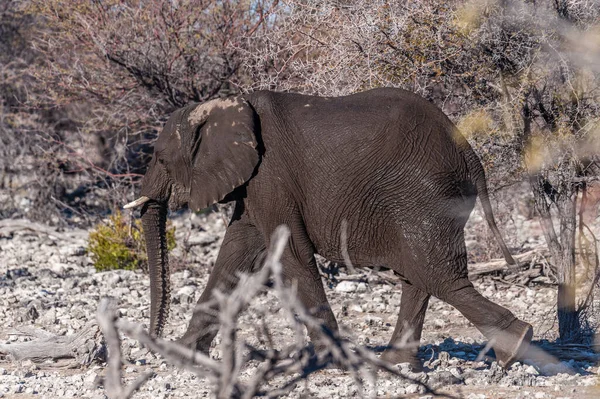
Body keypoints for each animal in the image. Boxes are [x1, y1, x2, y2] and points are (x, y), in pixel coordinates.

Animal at [124, 89, 532, 370]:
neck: (228, 106)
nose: (150, 342)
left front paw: (327, 362)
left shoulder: (270, 176)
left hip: (426, 193)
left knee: (440, 278)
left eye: (160, 157)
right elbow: (235, 254)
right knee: (419, 277)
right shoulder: (254, 184)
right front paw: (184, 356)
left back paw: (515, 346)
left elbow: (291, 255)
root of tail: (470, 154)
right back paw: (396, 363)